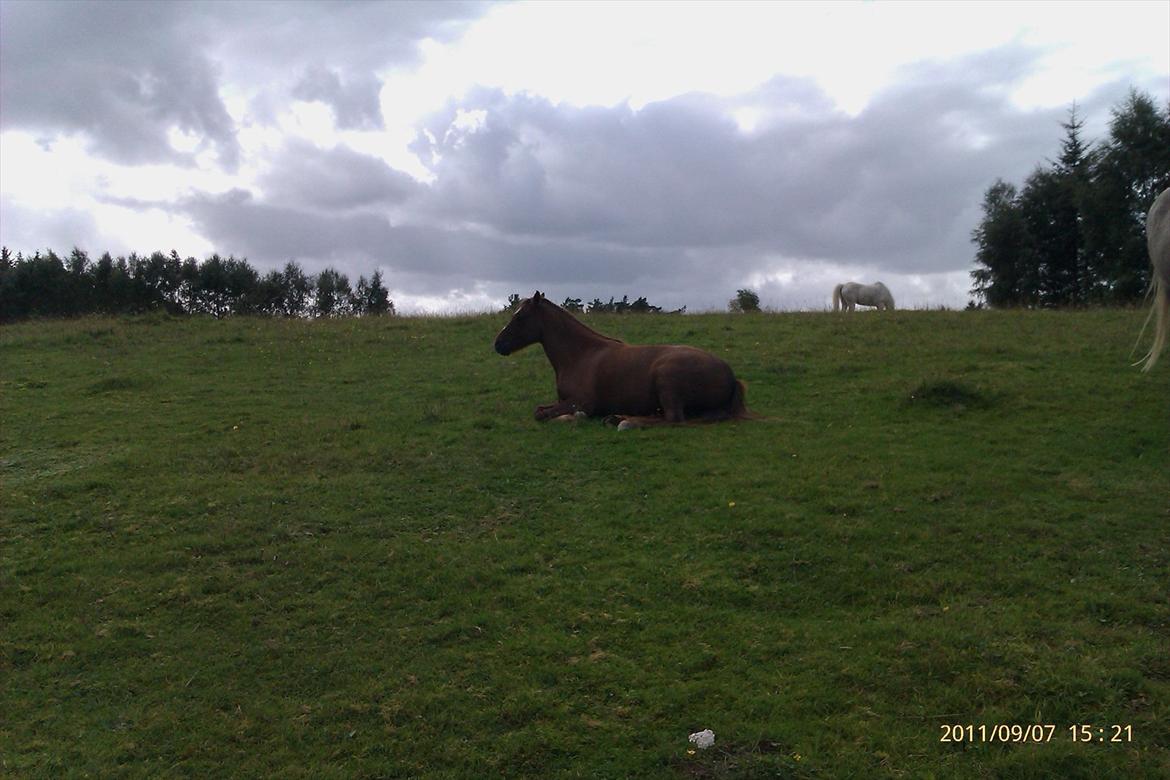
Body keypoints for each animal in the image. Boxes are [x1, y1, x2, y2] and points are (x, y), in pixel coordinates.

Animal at [493, 291, 750, 428]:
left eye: (520, 317)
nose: (498, 344)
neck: (581, 354)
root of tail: (730, 376)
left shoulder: (581, 402)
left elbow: (545, 414)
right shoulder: (563, 400)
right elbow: (541, 410)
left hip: (667, 380)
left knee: (672, 419)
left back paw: (625, 421)